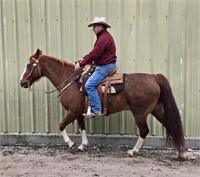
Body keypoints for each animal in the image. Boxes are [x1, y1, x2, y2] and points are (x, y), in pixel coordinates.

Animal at [19, 48, 185, 159]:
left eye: (29, 65)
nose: (22, 82)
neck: (70, 81)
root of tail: (153, 77)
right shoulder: (79, 113)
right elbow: (82, 128)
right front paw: (82, 145)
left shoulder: (72, 112)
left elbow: (61, 126)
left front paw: (71, 144)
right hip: (157, 110)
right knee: (171, 125)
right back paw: (181, 152)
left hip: (140, 113)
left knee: (144, 131)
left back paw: (133, 151)